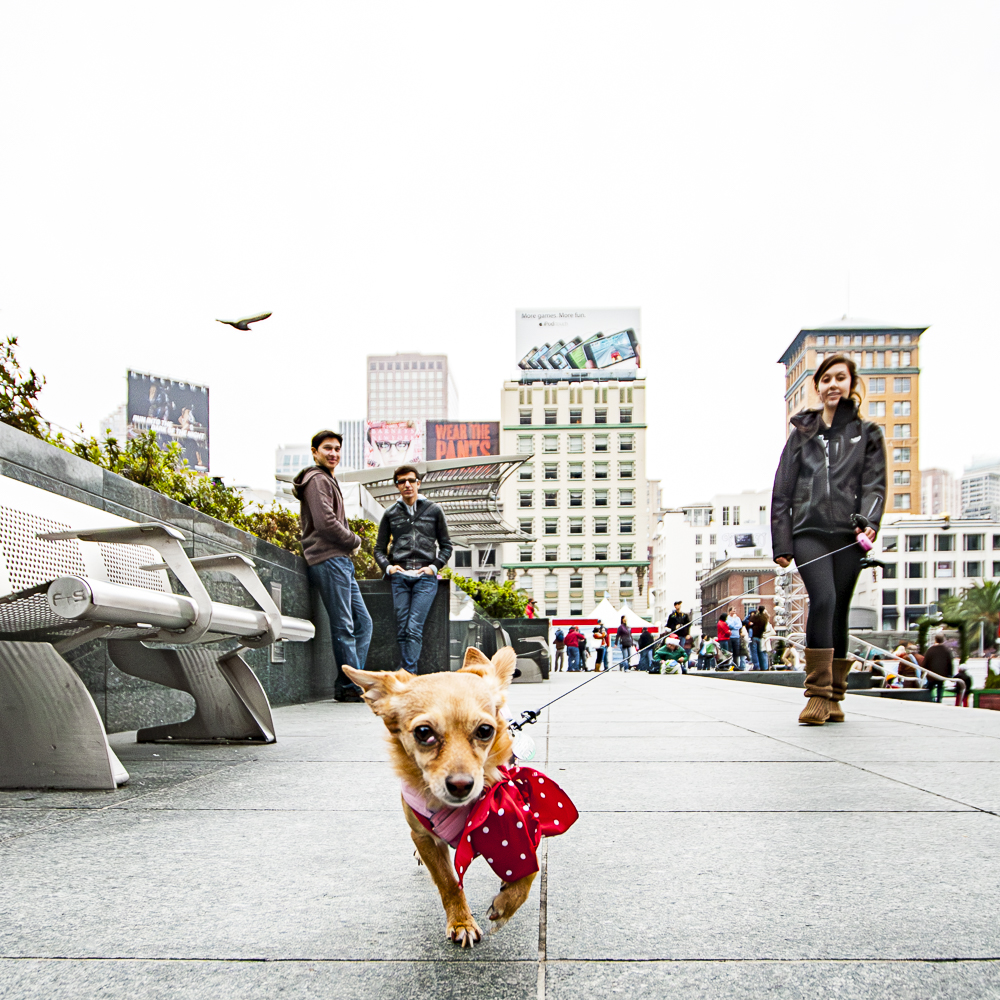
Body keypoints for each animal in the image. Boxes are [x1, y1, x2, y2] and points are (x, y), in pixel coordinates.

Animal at [346, 648, 576, 944]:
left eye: (485, 731)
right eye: (423, 733)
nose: (461, 785)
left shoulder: (518, 817)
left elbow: (529, 868)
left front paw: (506, 904)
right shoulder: (424, 837)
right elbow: (448, 882)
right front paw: (461, 922)